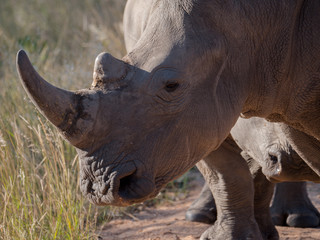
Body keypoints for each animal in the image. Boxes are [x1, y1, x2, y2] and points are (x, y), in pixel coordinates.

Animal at [188, 117, 320, 239]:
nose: (298, 161)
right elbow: (226, 172)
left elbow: (258, 179)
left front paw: (264, 235)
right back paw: (198, 215)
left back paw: (302, 219)